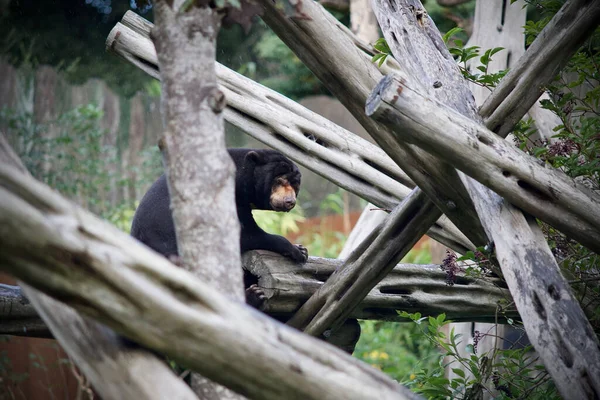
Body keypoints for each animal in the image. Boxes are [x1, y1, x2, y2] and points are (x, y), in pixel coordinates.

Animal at [132, 148, 310, 306]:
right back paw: (253, 295)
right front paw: (298, 251)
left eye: (295, 185)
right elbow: (244, 234)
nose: (289, 201)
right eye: (278, 181)